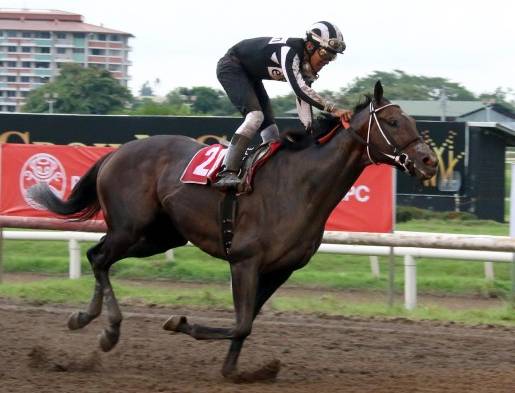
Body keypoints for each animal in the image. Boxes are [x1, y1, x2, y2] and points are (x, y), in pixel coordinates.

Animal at [30, 82, 438, 380]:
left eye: (412, 120)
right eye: (394, 122)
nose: (429, 160)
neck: (300, 185)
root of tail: (117, 152)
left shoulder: (279, 270)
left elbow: (247, 323)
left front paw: (234, 369)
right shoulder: (245, 260)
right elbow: (240, 324)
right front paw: (181, 323)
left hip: (160, 236)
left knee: (97, 255)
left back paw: (88, 320)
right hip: (131, 228)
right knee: (99, 257)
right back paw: (107, 328)